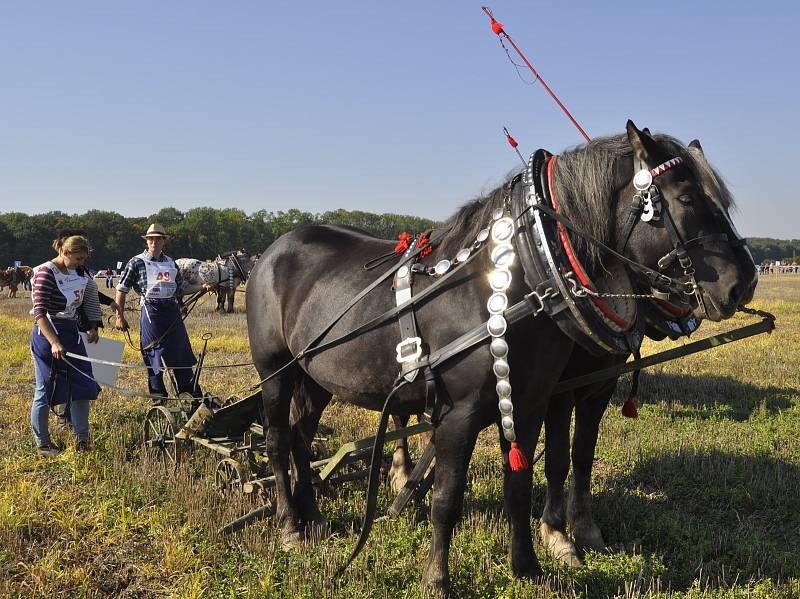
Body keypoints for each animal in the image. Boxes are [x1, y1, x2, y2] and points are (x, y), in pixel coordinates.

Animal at [247, 123, 752, 599]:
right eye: (686, 197)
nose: (742, 282)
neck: (523, 279)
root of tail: (272, 250)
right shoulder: (458, 414)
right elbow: (448, 498)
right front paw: (436, 580)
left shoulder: (531, 404)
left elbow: (522, 486)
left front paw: (529, 567)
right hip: (275, 370)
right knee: (277, 439)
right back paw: (290, 527)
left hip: (315, 376)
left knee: (301, 435)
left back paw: (313, 517)